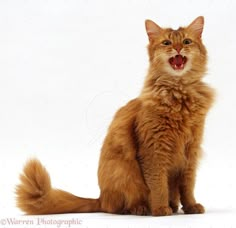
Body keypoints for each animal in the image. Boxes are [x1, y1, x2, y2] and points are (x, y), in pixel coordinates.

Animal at [15, 16, 214, 216]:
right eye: (167, 43)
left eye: (186, 41)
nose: (178, 48)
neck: (179, 94)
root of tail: (101, 198)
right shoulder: (153, 150)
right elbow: (158, 185)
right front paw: (159, 209)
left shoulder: (191, 151)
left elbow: (187, 186)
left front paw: (191, 206)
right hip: (124, 172)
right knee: (120, 206)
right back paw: (142, 208)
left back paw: (172, 206)